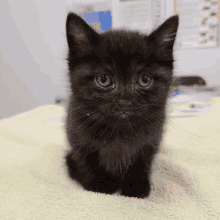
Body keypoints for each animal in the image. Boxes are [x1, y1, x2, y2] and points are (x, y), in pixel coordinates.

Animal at [64, 12, 178, 199]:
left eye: (144, 80)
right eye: (104, 79)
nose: (125, 101)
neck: (119, 130)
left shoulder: (150, 142)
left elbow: (141, 161)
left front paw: (135, 187)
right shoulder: (77, 137)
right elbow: (85, 159)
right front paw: (101, 184)